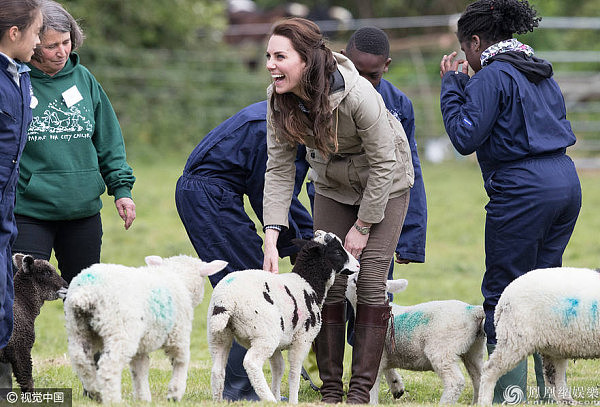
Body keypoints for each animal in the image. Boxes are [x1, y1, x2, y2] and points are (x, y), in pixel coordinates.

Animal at [63, 255, 227, 404]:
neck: (176, 277)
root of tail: (85, 293)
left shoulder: (141, 346)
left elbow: (140, 370)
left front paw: (143, 398)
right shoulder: (178, 334)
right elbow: (181, 361)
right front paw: (174, 394)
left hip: (77, 328)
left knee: (80, 361)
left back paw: (95, 391)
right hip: (120, 330)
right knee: (109, 366)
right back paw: (113, 400)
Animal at [207, 231, 356, 404]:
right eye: (338, 252)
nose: (358, 265)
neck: (309, 282)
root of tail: (226, 299)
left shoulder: (279, 344)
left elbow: (279, 368)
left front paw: (279, 396)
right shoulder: (302, 339)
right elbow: (294, 371)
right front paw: (292, 401)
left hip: (218, 335)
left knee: (217, 369)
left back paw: (218, 400)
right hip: (264, 335)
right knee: (251, 363)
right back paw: (268, 398)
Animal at [344, 274, 486, 404]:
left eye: (355, 280)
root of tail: (473, 311)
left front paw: (371, 402)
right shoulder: (385, 353)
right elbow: (387, 369)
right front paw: (396, 386)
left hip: (443, 349)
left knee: (455, 381)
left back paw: (445, 403)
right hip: (474, 349)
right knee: (479, 376)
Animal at [480, 268, 600, 404]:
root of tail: (504, 299)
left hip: (555, 346)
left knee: (553, 377)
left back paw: (567, 401)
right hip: (515, 337)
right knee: (490, 369)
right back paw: (485, 401)